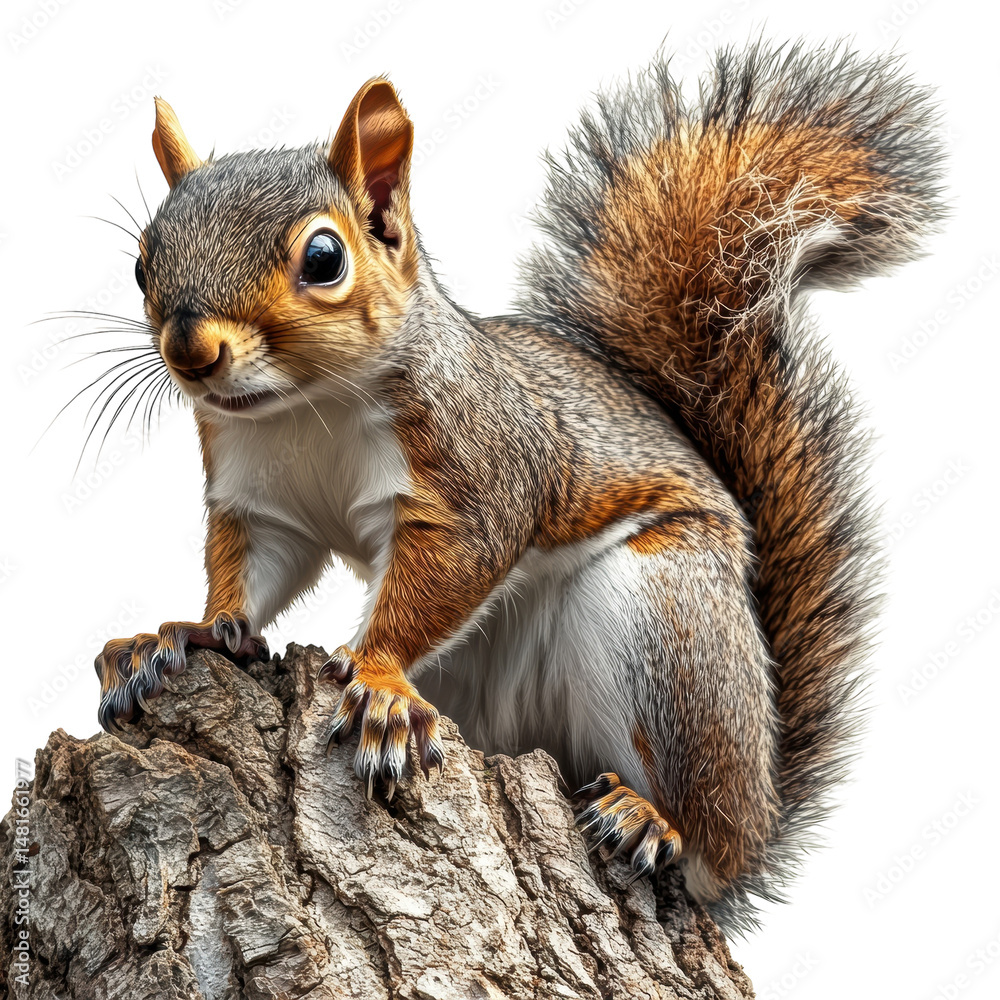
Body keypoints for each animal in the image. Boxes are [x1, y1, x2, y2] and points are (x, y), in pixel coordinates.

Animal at [91, 39, 944, 931]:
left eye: (323, 259)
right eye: (143, 261)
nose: (191, 351)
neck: (302, 410)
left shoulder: (481, 475)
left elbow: (448, 572)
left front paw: (380, 680)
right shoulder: (260, 502)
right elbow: (253, 576)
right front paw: (187, 634)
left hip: (669, 623)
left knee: (704, 833)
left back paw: (655, 819)